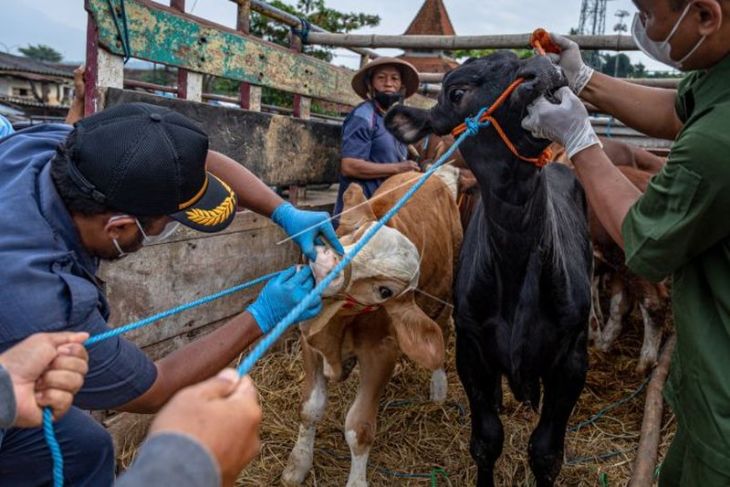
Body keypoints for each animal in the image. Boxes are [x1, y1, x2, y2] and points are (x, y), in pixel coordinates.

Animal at [280, 170, 460, 486]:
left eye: (385, 291)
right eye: (356, 235)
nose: (325, 266)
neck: (337, 326)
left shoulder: (381, 353)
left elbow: (359, 429)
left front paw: (356, 480)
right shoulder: (308, 339)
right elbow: (310, 408)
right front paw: (298, 464)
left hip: (447, 290)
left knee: (443, 333)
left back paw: (438, 389)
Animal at [384, 50, 588, 487]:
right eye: (457, 92)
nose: (541, 68)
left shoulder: (572, 358)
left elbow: (546, 452)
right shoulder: (471, 349)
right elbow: (487, 439)